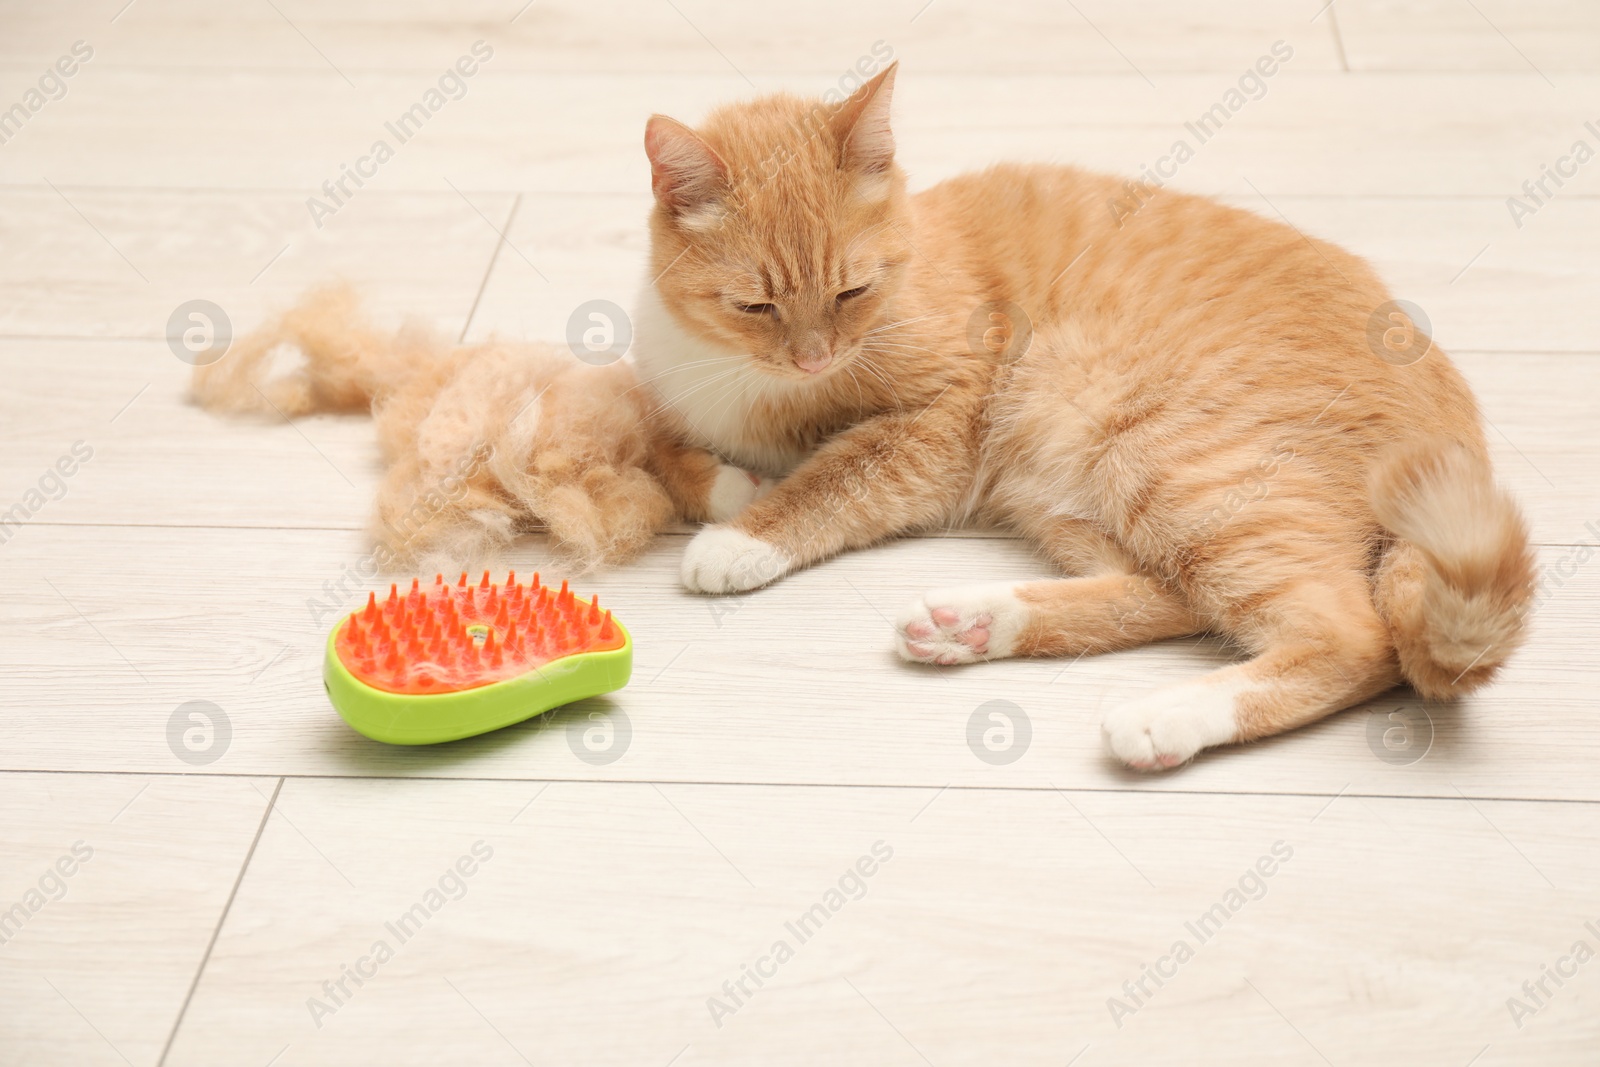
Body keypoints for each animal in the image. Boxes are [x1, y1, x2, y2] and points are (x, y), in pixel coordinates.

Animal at [630, 62, 1529, 771]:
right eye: (755, 304)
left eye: (854, 289)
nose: (815, 358)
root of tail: (1459, 431)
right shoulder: (661, 378)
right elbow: (653, 430)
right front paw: (725, 483)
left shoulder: (941, 420)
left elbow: (832, 478)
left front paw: (742, 534)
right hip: (1064, 487)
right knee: (1174, 596)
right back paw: (975, 623)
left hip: (1156, 449)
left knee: (1353, 638)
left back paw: (1165, 717)